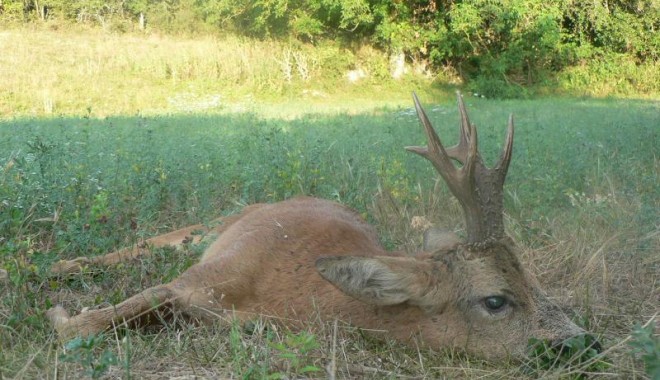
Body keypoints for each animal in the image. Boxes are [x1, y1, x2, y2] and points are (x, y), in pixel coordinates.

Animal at [46, 93, 600, 360]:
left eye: (539, 286)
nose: (583, 344)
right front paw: (60, 311)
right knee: (152, 241)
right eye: (496, 300)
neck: (288, 298)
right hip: (215, 225)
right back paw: (58, 266)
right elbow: (87, 323)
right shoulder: (202, 276)